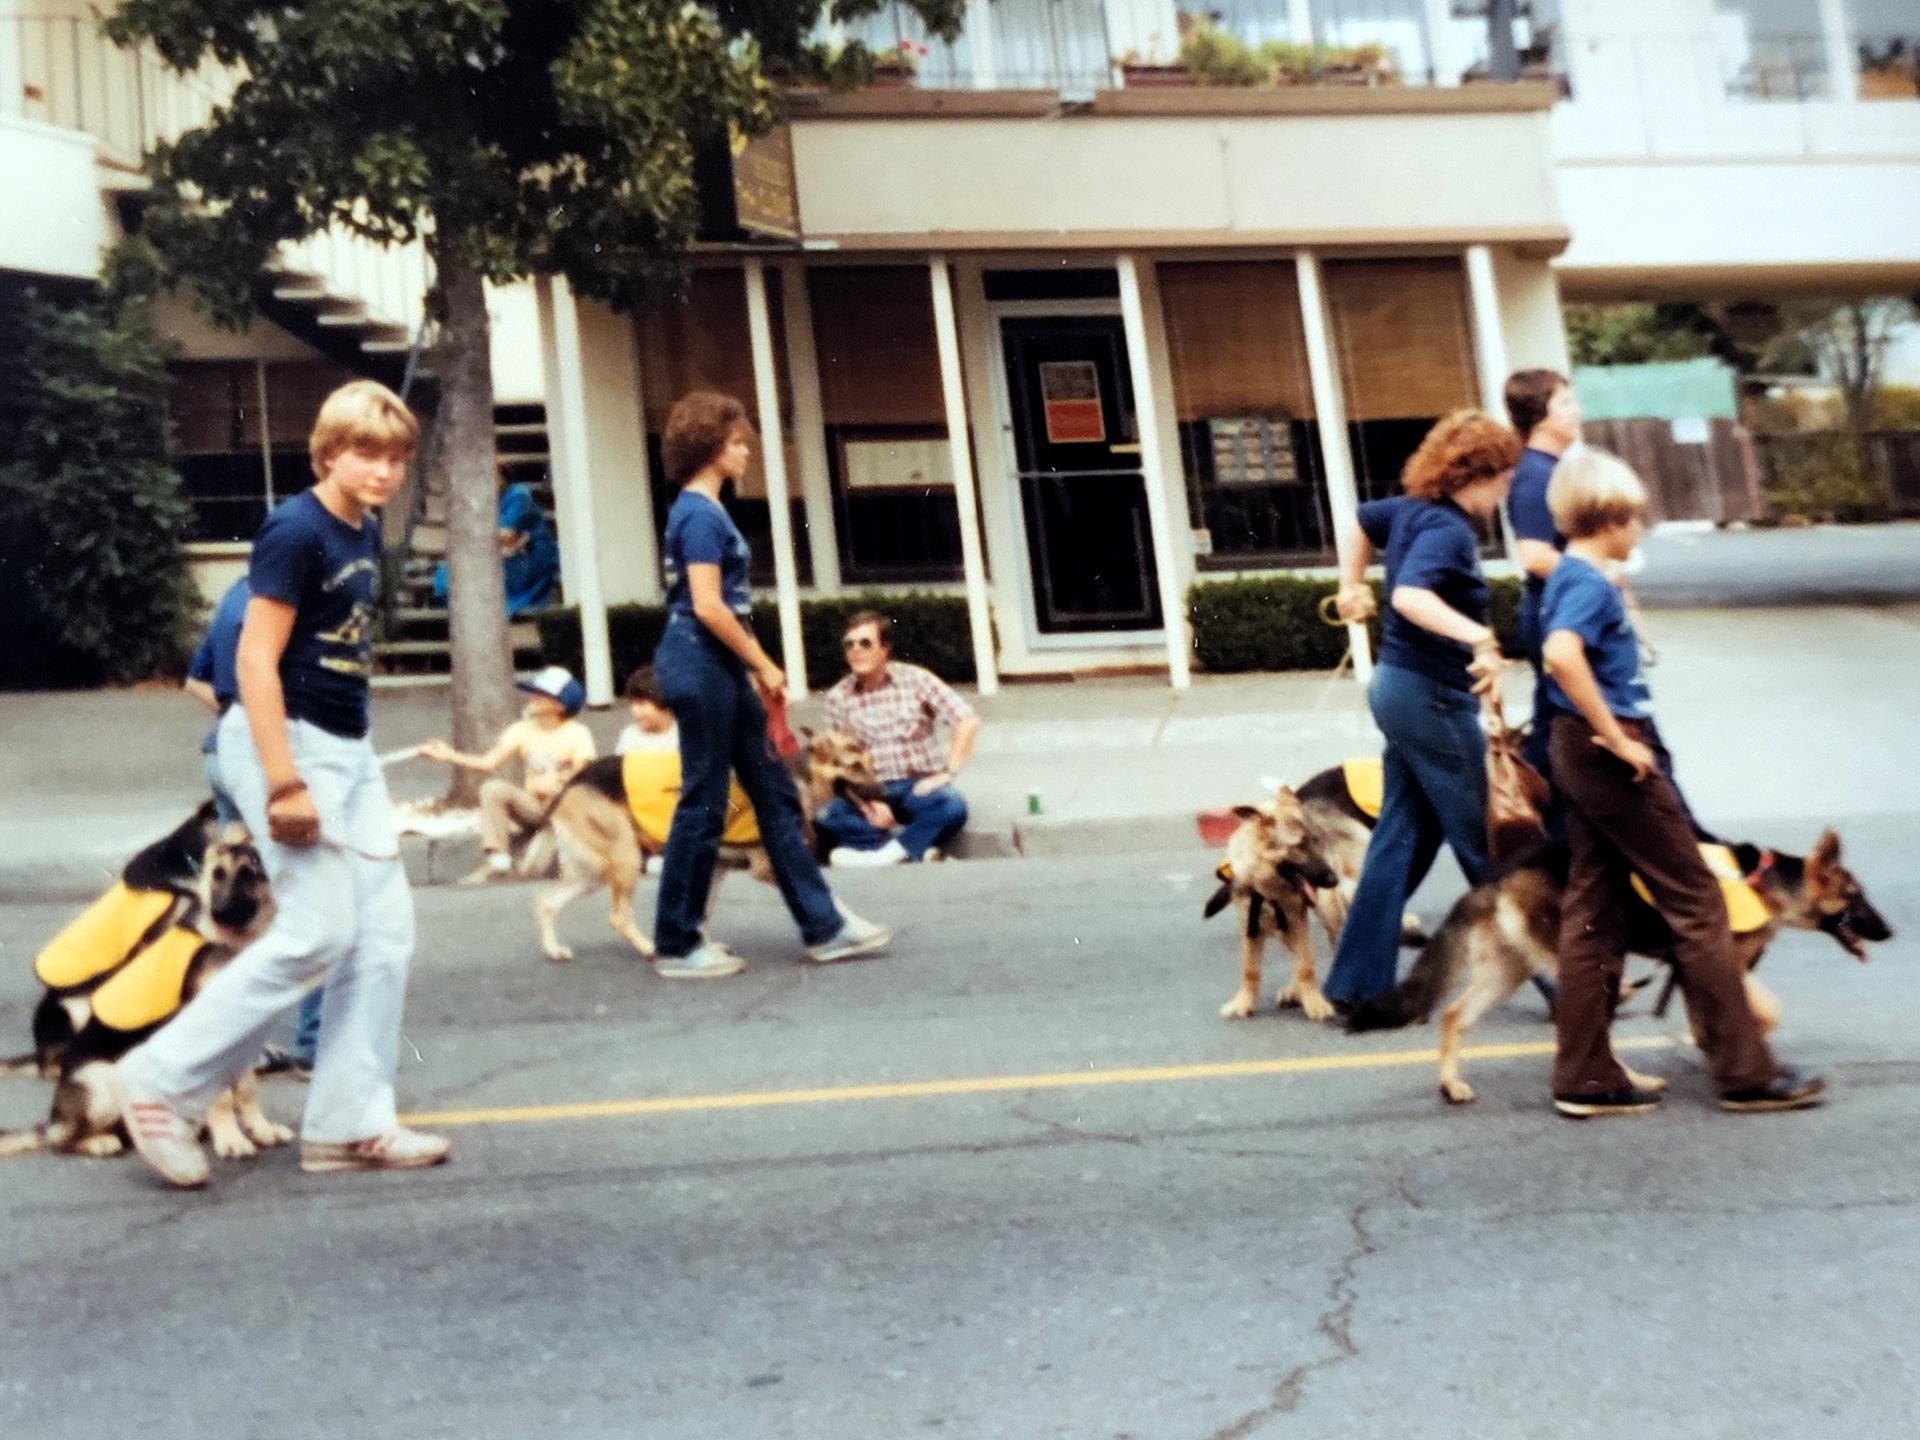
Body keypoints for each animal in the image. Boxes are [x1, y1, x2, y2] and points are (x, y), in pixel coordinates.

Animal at [0, 805, 287, 1160]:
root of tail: (53, 1119)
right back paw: (101, 1141)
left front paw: (260, 1129)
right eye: (217, 875)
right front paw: (231, 1139)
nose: (218, 912)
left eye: (249, 874)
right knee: (62, 1140)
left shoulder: (243, 1035)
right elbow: (221, 1096)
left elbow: (247, 1090)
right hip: (101, 1076)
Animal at [533, 729, 888, 963]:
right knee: (618, 917)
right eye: (855, 766)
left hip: (593, 872)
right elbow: (831, 897)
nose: (885, 795)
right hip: (625, 859)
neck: (799, 779)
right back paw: (649, 948)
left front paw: (699, 947)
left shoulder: (718, 867)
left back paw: (553, 949)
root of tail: (572, 783)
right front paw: (853, 930)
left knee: (546, 903)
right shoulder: (770, 867)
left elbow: (702, 914)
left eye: (872, 763)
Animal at [1205, 787, 1343, 1022]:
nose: (1333, 880)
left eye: (1315, 841)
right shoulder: (1251, 925)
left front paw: (1315, 1003)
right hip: (1281, 928)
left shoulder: (1296, 918)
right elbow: (1250, 969)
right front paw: (1243, 1003)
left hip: (1325, 916)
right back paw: (1294, 991)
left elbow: (1306, 965)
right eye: (1300, 845)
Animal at [1346, 829, 1894, 1105]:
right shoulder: (1711, 964)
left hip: (1507, 971)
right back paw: (1629, 1083)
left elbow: (1744, 1014)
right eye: (1857, 898)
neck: (1766, 884)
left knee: (1454, 1016)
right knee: (1590, 1028)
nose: (1890, 933)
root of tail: (1495, 876)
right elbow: (1753, 1012)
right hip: (1587, 965)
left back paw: (1451, 1084)